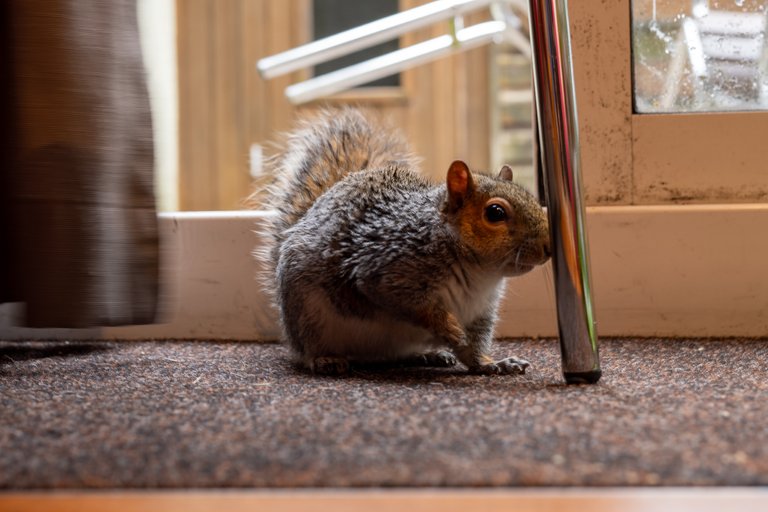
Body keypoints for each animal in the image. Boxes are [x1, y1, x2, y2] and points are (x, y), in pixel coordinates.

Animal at [255, 108, 548, 374]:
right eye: (495, 213)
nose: (548, 247)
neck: (478, 272)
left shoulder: (480, 311)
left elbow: (472, 349)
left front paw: (492, 363)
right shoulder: (387, 270)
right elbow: (412, 306)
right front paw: (449, 329)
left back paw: (426, 355)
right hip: (307, 317)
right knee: (305, 352)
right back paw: (325, 359)